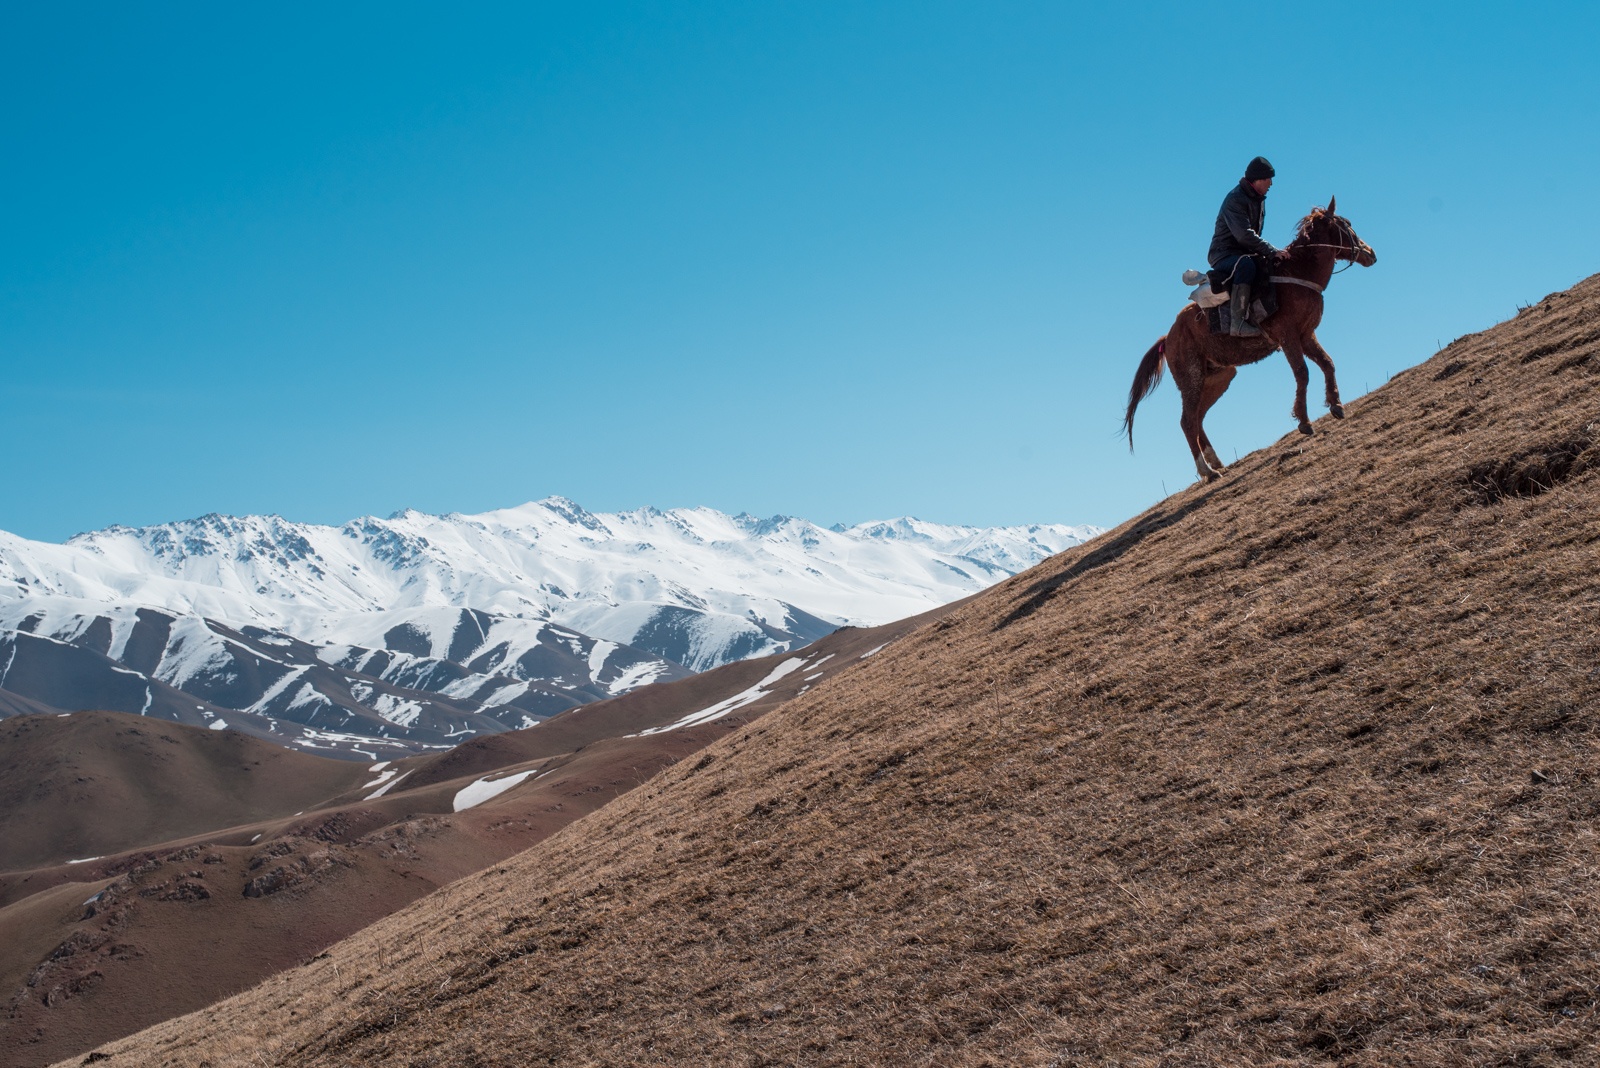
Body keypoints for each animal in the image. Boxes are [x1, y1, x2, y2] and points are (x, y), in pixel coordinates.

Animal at [1126, 198, 1376, 482]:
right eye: (1346, 225)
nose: (1370, 253)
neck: (1298, 272)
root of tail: (1168, 337)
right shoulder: (1288, 336)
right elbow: (1302, 372)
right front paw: (1303, 421)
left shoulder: (1306, 335)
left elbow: (1327, 363)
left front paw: (1336, 404)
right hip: (1192, 379)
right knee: (1187, 421)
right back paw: (1208, 471)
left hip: (1218, 377)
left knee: (1198, 417)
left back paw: (1215, 461)